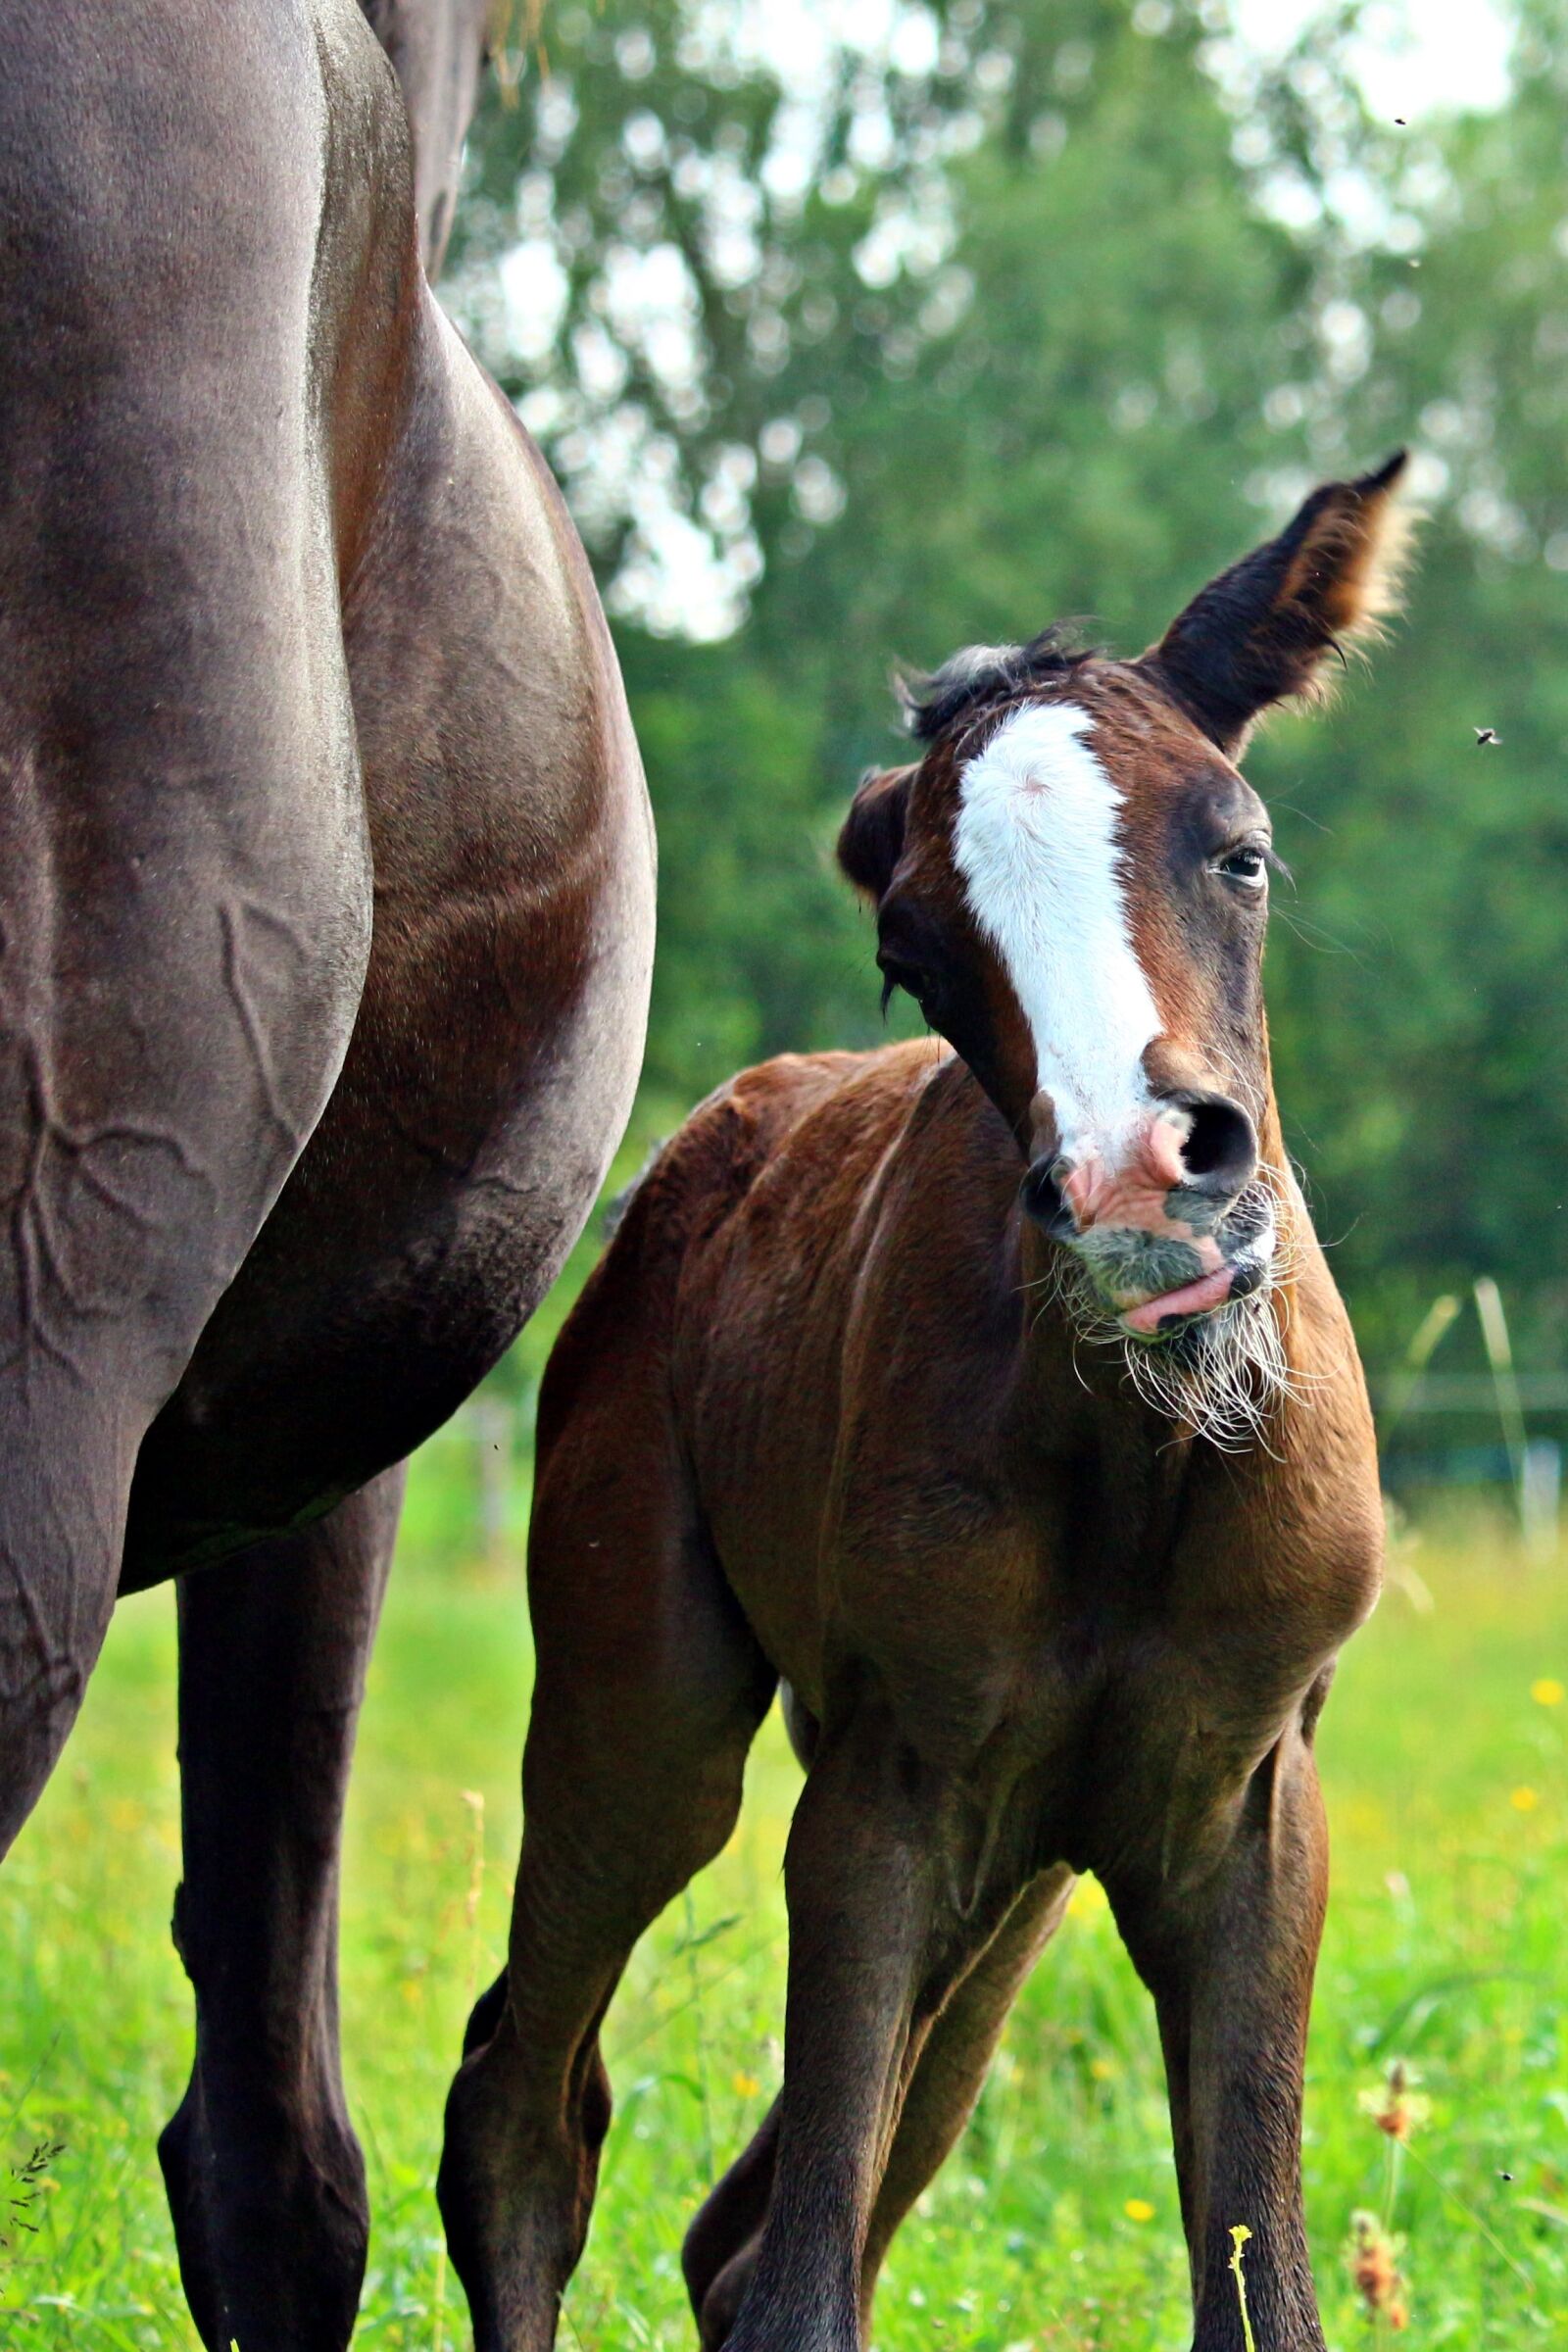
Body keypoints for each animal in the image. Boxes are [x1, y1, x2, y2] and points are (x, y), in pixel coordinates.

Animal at [437, 458, 1410, 2352]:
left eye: (1241, 852)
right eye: (916, 955)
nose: (1138, 1194)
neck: (1143, 1454)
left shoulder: (1249, 1803)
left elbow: (1258, 2291)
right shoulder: (887, 1795)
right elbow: (804, 2283)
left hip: (1023, 1869)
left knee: (732, 2225)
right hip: (652, 1720)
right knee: (523, 2120)